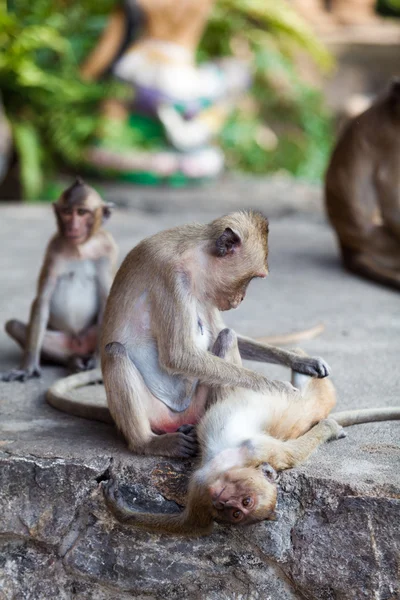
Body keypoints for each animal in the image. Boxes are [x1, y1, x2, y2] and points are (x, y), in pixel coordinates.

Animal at [0, 179, 117, 384]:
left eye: (82, 212)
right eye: (67, 212)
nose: (72, 226)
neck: (81, 248)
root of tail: (78, 343)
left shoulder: (107, 251)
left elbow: (106, 301)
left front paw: (96, 364)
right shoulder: (53, 249)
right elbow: (43, 300)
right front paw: (28, 367)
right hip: (62, 341)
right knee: (13, 325)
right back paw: (73, 360)